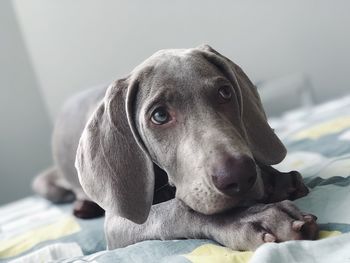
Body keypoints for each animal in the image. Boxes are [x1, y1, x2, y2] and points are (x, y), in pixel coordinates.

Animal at [33, 44, 318, 252]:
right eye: (159, 116)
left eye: (225, 92)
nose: (239, 177)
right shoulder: (119, 222)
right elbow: (177, 210)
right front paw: (255, 218)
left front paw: (275, 179)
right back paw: (84, 206)